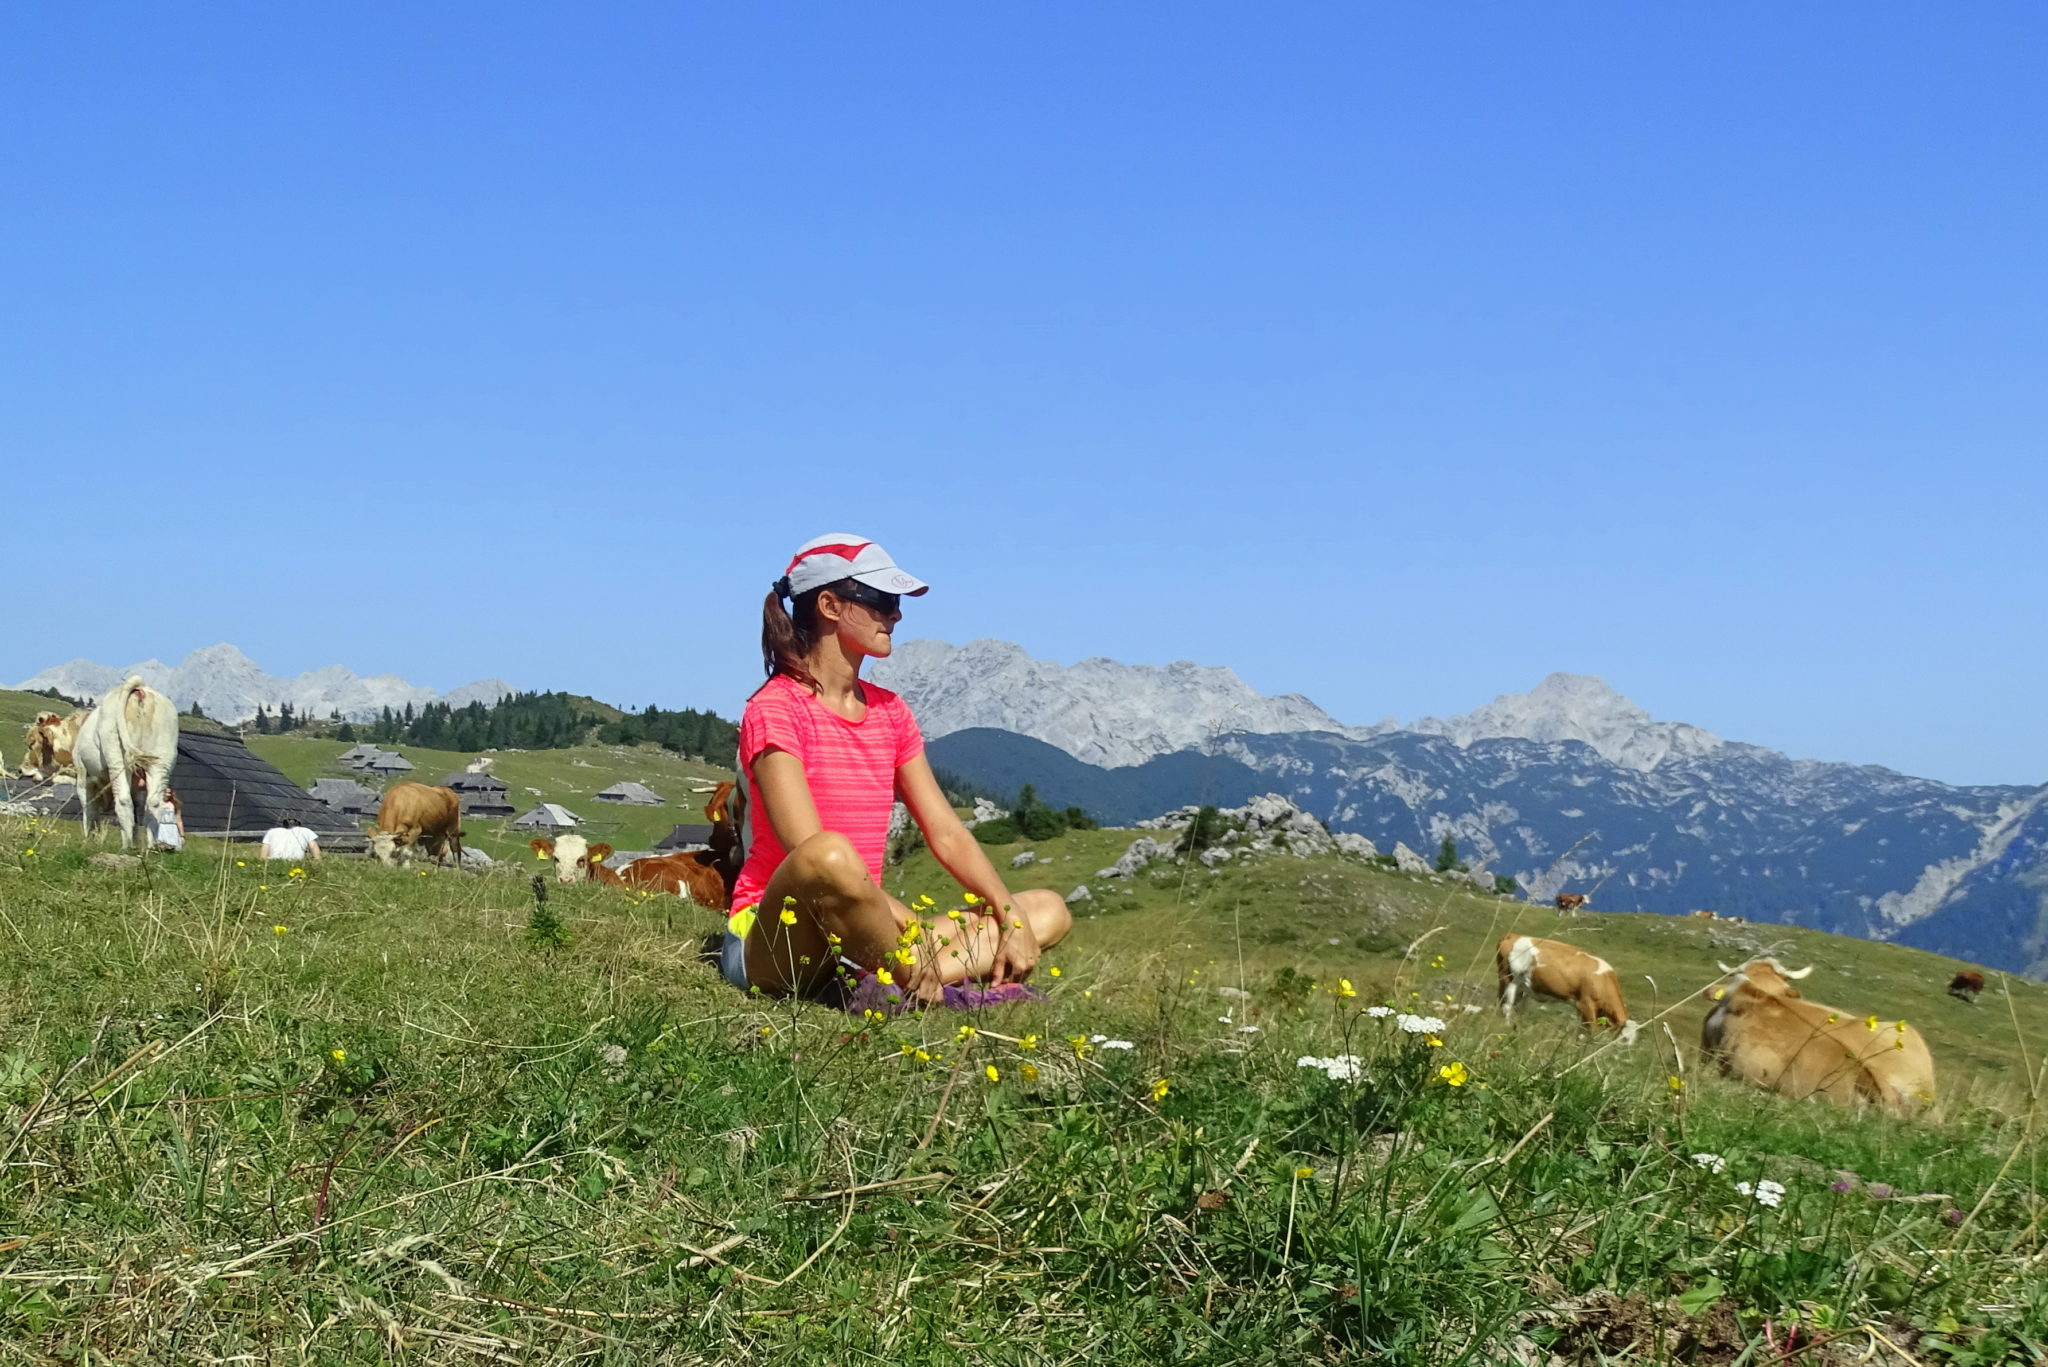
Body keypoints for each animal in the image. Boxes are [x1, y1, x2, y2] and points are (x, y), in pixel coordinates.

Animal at [72, 680, 178, 848]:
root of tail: (140, 690)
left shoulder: (83, 775)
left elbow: (88, 808)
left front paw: (88, 839)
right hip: (162, 760)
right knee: (153, 802)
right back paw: (150, 847)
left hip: (116, 755)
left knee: (122, 799)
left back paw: (127, 846)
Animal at [1499, 934, 1638, 1041]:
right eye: (1625, 1039)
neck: (1603, 981)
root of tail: (1514, 935)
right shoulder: (1586, 1004)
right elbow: (1591, 1030)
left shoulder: (1583, 1010)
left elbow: (1582, 1030)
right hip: (1508, 980)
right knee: (1506, 1007)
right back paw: (1506, 1027)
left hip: (1523, 987)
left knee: (1520, 1008)